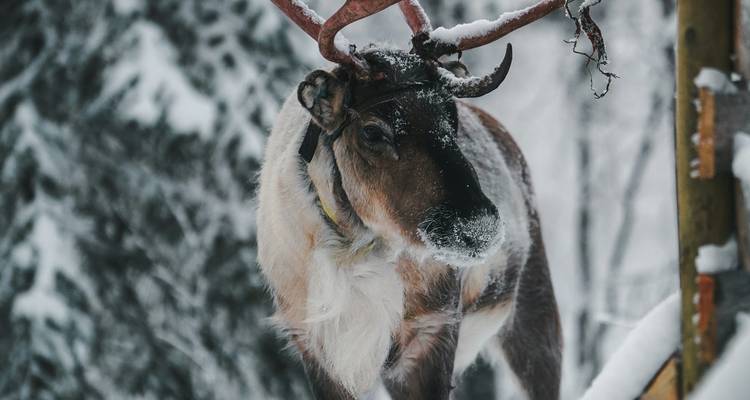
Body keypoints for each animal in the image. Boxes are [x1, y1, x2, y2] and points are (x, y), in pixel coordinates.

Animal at [257, 1, 566, 399]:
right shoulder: (314, 343)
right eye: (372, 131)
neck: (354, 244)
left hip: (534, 313)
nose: (477, 228)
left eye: (451, 116)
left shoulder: (434, 327)